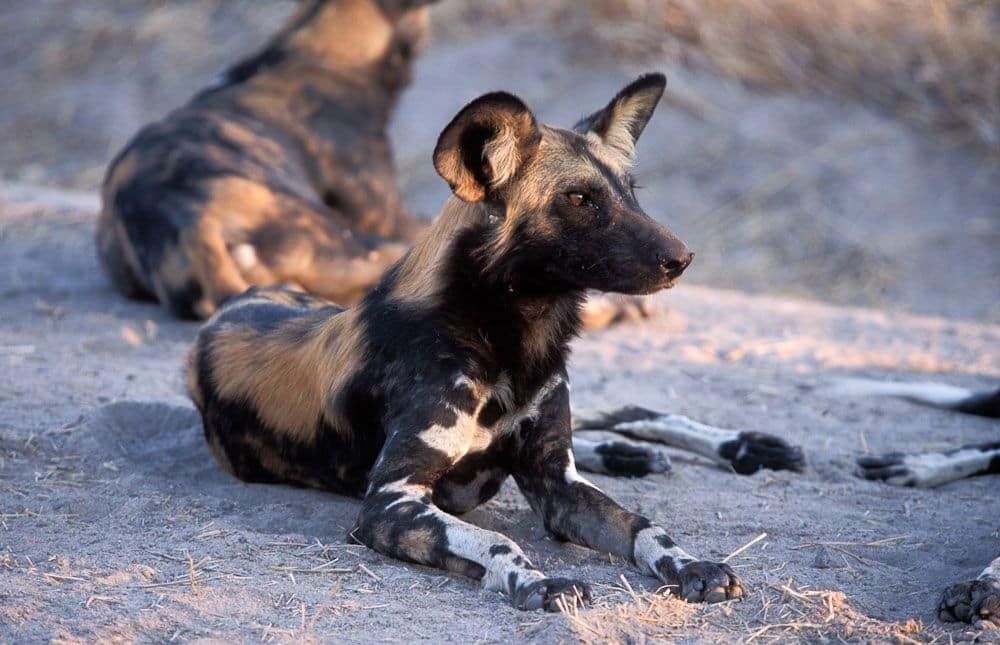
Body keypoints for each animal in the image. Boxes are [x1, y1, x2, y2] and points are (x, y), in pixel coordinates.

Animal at [188, 74, 752, 608]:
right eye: (578, 199)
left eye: (631, 192)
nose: (682, 258)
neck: (513, 339)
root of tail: (237, 301)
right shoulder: (390, 501)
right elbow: (498, 541)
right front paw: (539, 583)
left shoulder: (558, 482)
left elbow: (643, 525)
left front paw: (695, 567)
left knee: (622, 413)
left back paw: (722, 446)